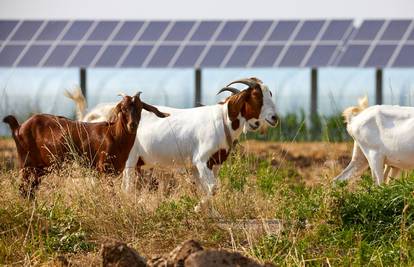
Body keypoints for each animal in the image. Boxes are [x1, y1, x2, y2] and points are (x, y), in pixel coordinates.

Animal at [2, 93, 168, 198]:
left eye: (140, 108)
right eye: (123, 109)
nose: (132, 125)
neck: (113, 135)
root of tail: (19, 127)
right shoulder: (103, 169)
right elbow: (110, 195)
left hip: (39, 169)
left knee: (30, 190)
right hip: (26, 164)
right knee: (23, 190)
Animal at [121, 78, 278, 210]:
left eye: (270, 93)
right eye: (256, 95)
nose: (274, 117)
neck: (222, 120)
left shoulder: (211, 164)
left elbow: (208, 189)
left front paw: (211, 214)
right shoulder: (201, 161)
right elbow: (213, 188)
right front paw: (197, 208)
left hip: (142, 163)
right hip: (131, 159)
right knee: (128, 186)